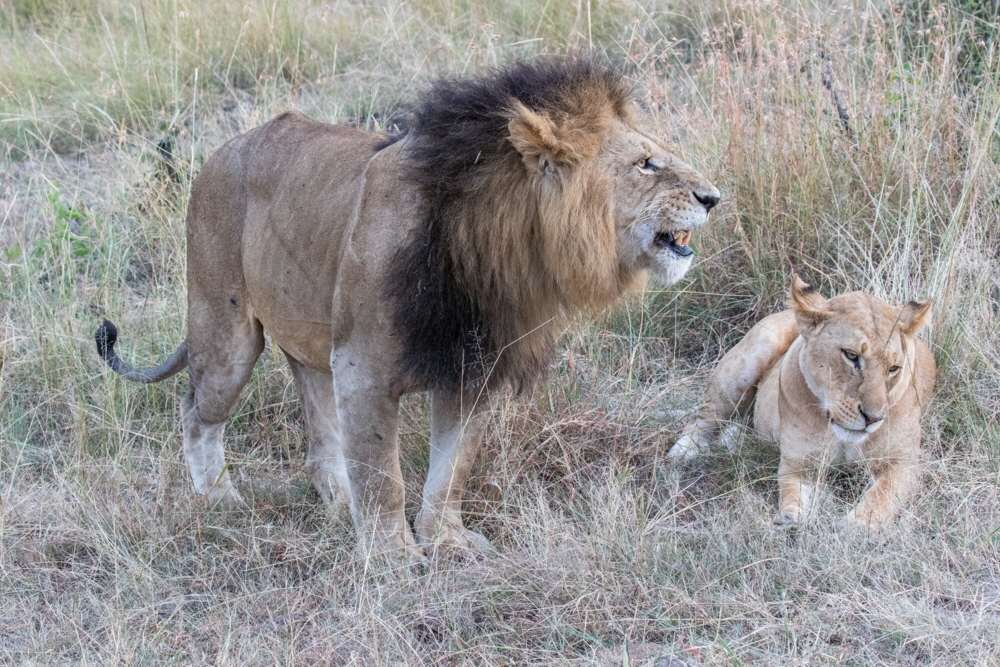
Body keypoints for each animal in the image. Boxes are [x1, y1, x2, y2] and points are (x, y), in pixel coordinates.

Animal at [95, 58, 720, 557]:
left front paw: (445, 541)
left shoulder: (473, 371)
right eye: (647, 164)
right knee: (196, 411)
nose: (714, 197)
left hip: (310, 339)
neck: (493, 245)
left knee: (319, 436)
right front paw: (393, 557)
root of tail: (219, 152)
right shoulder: (363, 369)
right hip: (226, 330)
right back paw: (219, 499)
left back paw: (336, 504)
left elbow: (452, 471)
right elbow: (383, 476)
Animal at [669, 276, 936, 531]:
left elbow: (883, 494)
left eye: (894, 368)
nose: (873, 418)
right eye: (851, 355)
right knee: (705, 415)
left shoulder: (905, 462)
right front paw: (792, 518)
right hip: (746, 361)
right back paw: (685, 451)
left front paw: (861, 525)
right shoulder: (797, 462)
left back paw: (732, 440)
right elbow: (791, 494)